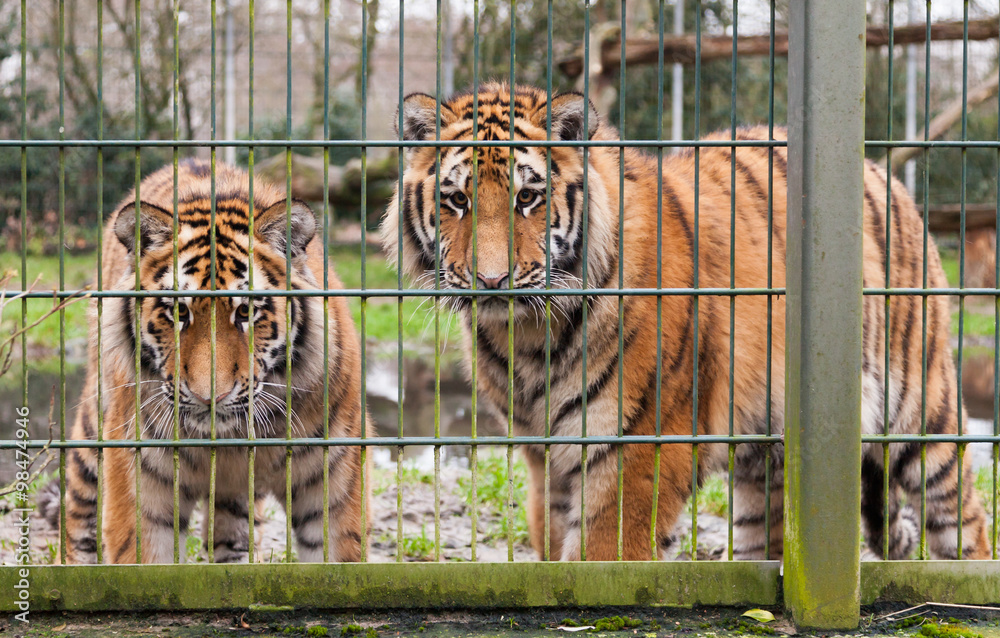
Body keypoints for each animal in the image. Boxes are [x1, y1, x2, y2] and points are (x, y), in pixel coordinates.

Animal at [381, 82, 990, 562]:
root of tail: (883, 171)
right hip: (765, 459)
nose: (492, 281)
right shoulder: (542, 455)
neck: (530, 338)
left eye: (528, 197)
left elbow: (600, 556)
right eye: (457, 200)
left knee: (965, 516)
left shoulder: (639, 444)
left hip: (920, 409)